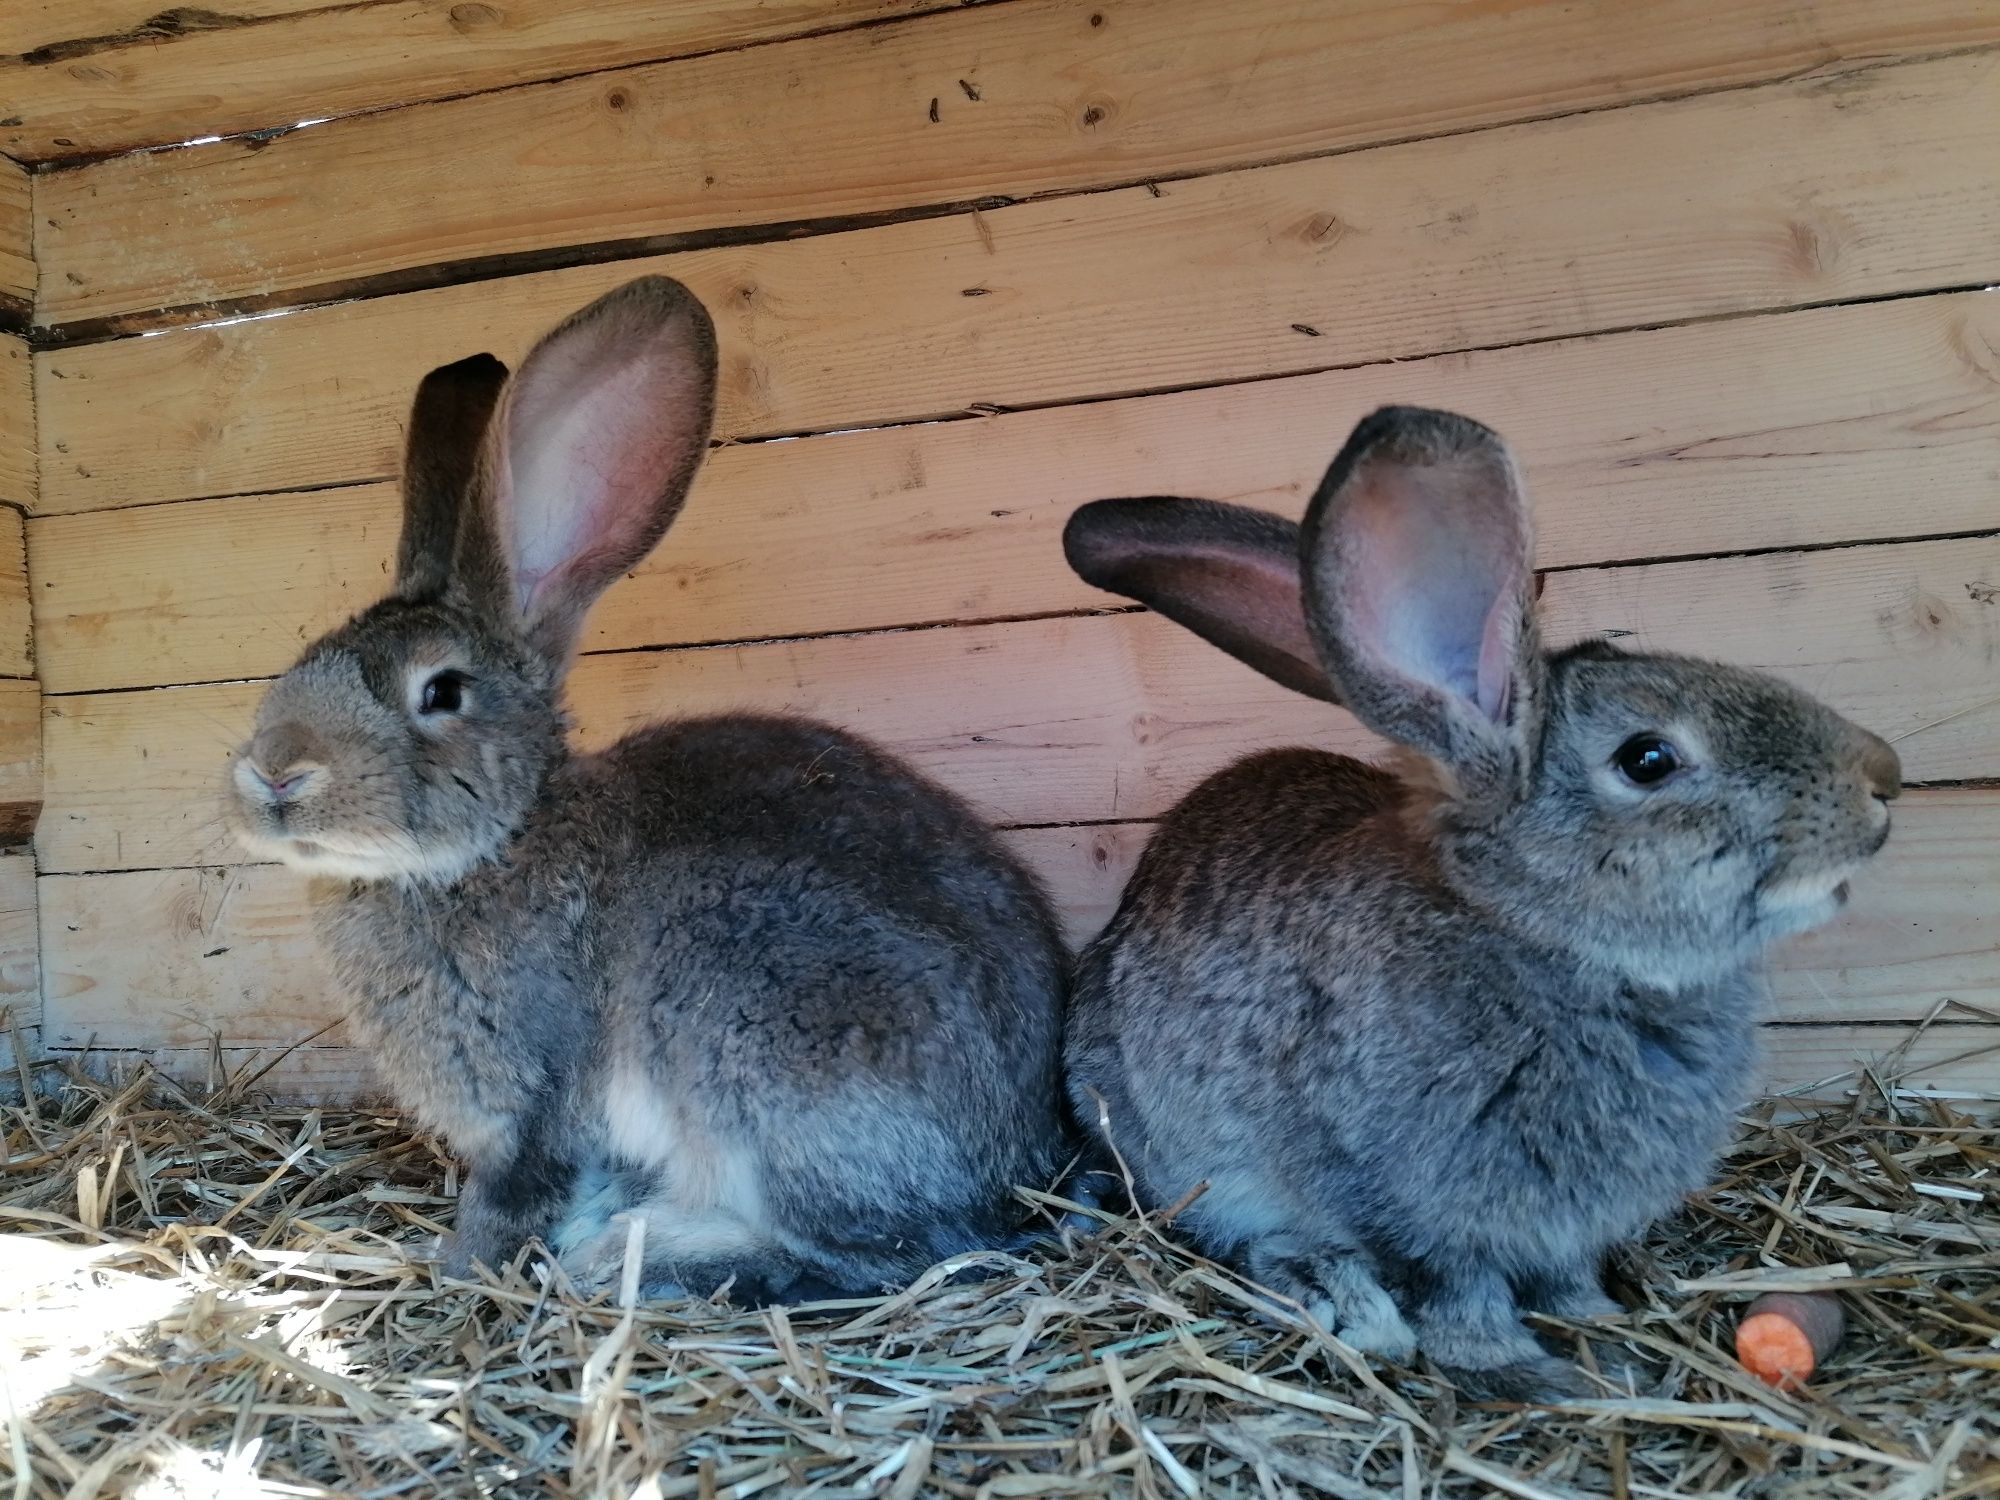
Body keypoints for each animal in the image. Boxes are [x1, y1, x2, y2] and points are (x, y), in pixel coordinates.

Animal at [225, 280, 1072, 1304]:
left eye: (443, 692)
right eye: (301, 661)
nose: (274, 770)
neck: (499, 842)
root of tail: (1027, 1163)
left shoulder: (540, 1089)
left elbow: (517, 1191)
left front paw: (462, 1268)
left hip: (753, 1021)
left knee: (900, 1251)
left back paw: (642, 1256)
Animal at [1056, 408, 1896, 1400]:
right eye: (1648, 759)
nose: (1884, 777)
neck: (1537, 937)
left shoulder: (1557, 1224)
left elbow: (1563, 1276)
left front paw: (1601, 1326)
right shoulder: (1403, 1194)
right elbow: (1455, 1293)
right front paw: (1533, 1371)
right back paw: (1338, 1297)